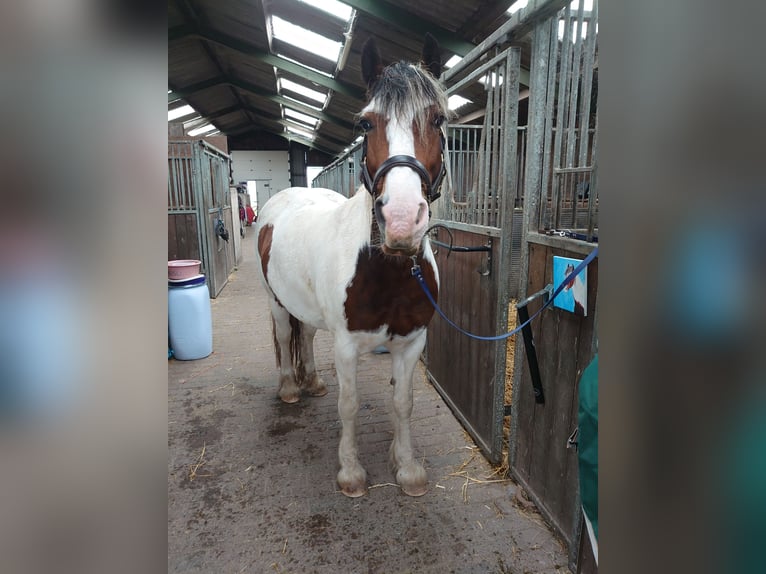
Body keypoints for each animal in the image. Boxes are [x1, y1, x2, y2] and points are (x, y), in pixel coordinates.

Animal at [255, 33, 450, 498]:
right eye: (366, 124)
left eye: (437, 118)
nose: (401, 221)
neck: (388, 272)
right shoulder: (345, 345)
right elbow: (350, 405)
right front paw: (351, 472)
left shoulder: (411, 342)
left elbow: (403, 402)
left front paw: (407, 467)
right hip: (275, 302)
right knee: (285, 335)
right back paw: (290, 389)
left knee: (306, 336)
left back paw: (312, 382)